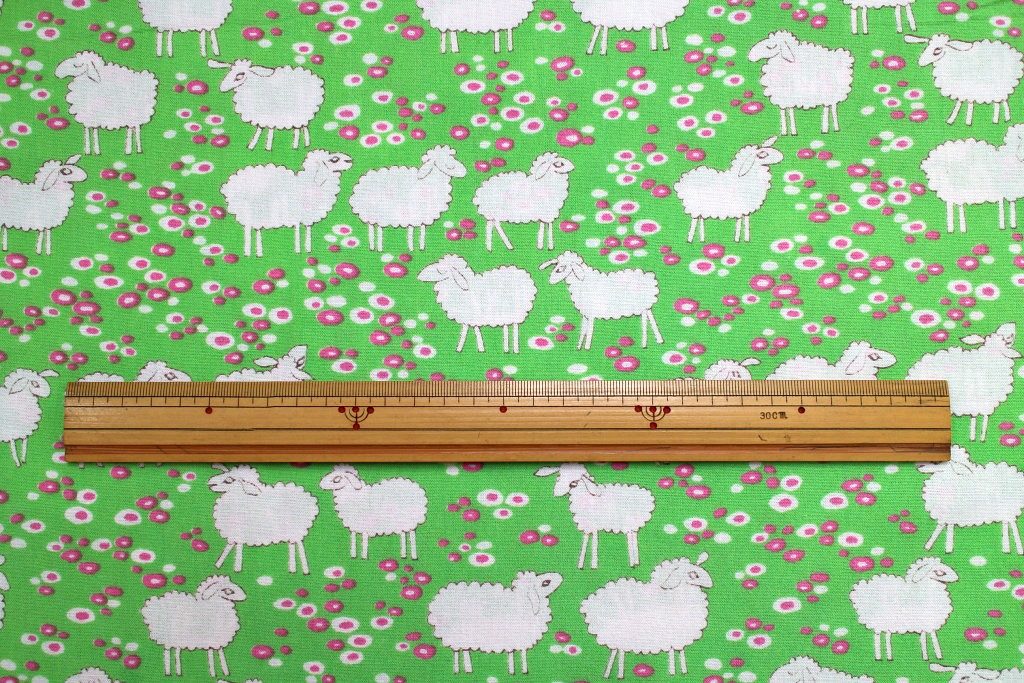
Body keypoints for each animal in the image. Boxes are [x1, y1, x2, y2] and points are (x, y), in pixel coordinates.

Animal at [221, 150, 352, 257]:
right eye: (334, 159)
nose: (350, 160)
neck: (311, 183)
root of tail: (230, 186)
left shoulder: (308, 216)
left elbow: (308, 231)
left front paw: (308, 250)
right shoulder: (297, 215)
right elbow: (298, 231)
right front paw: (298, 251)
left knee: (256, 230)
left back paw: (258, 253)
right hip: (247, 212)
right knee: (248, 232)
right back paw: (248, 253)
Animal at [428, 571, 563, 675]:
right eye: (546, 583)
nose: (561, 577)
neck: (524, 602)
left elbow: (514, 653)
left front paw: (515, 671)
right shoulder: (517, 637)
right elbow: (520, 654)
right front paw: (519, 671)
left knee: (463, 650)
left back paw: (467, 669)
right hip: (454, 636)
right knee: (457, 651)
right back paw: (459, 670)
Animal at [581, 554, 712, 679]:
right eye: (693, 575)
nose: (711, 583)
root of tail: (591, 603)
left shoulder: (678, 638)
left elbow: (678, 653)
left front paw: (680, 672)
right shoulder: (673, 636)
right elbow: (674, 653)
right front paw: (675, 671)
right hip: (617, 635)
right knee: (618, 652)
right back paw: (616, 674)